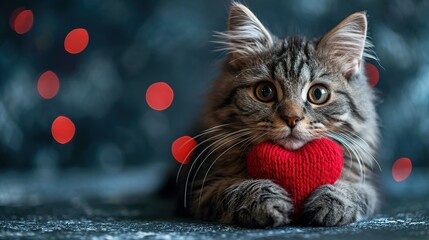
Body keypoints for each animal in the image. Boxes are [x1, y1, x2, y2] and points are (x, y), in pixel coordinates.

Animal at [176, 1, 378, 227]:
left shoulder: (365, 187)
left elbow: (352, 191)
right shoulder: (202, 190)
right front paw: (265, 199)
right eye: (265, 92)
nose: (292, 118)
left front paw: (332, 201)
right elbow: (235, 190)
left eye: (318, 94)